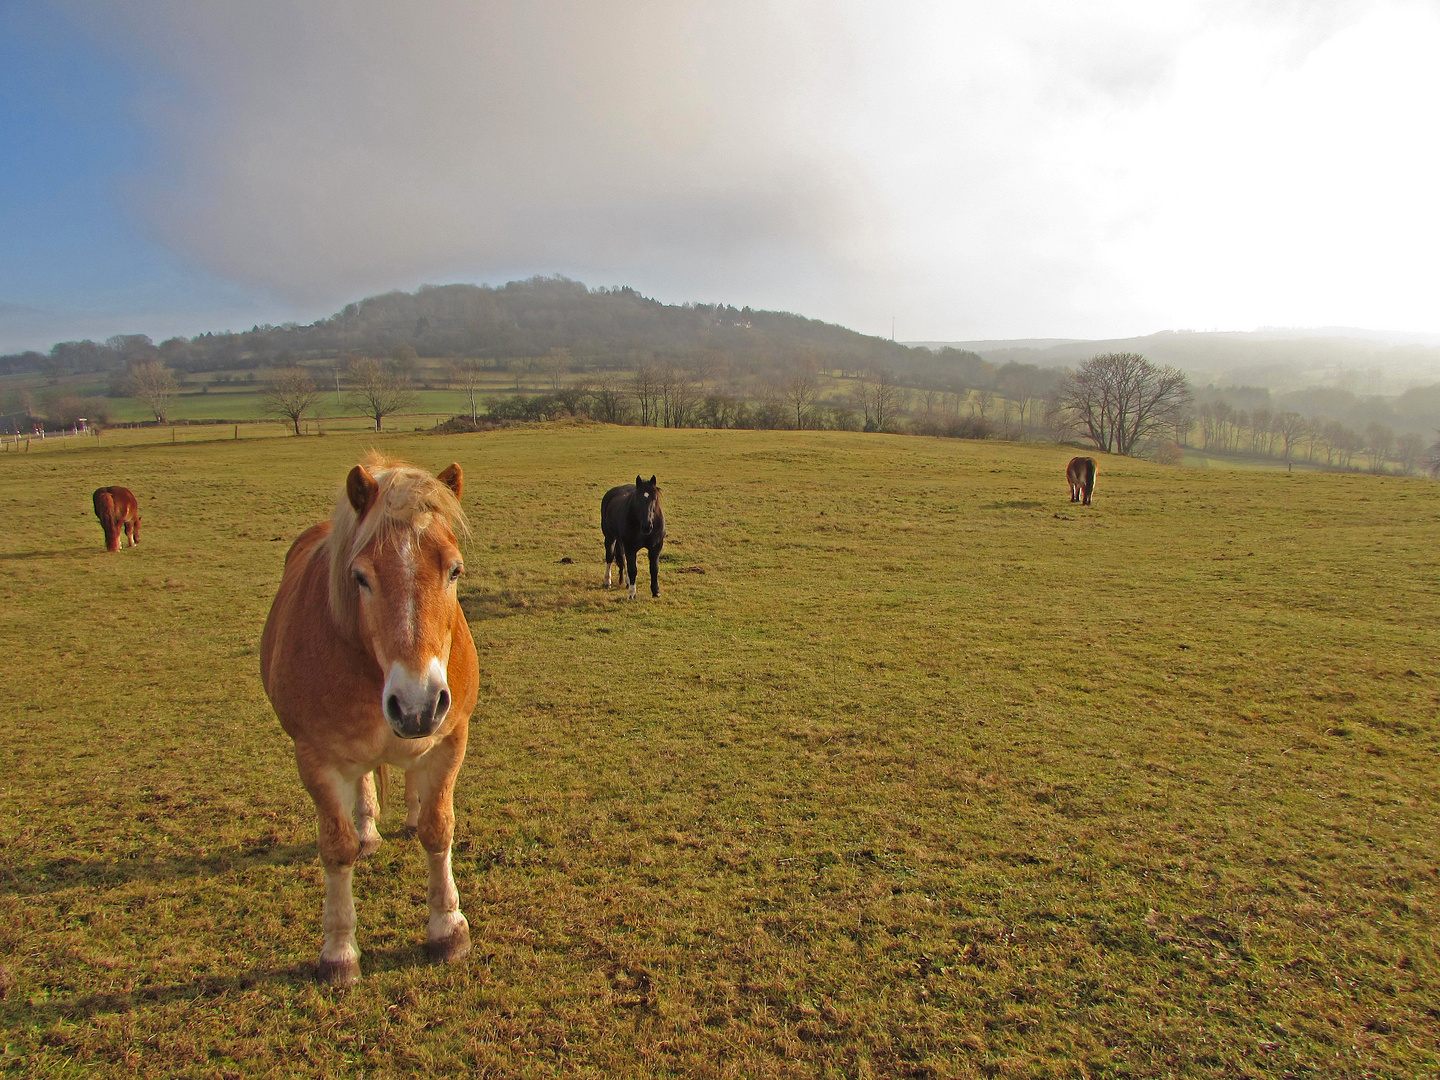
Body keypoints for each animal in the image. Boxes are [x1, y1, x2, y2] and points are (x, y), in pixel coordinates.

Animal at [259, 457, 478, 990]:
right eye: (360, 577)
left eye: (454, 570)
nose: (417, 703)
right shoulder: (315, 756)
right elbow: (335, 849)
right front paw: (339, 952)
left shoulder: (450, 738)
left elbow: (439, 829)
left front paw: (448, 929)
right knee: (360, 787)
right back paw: (368, 834)